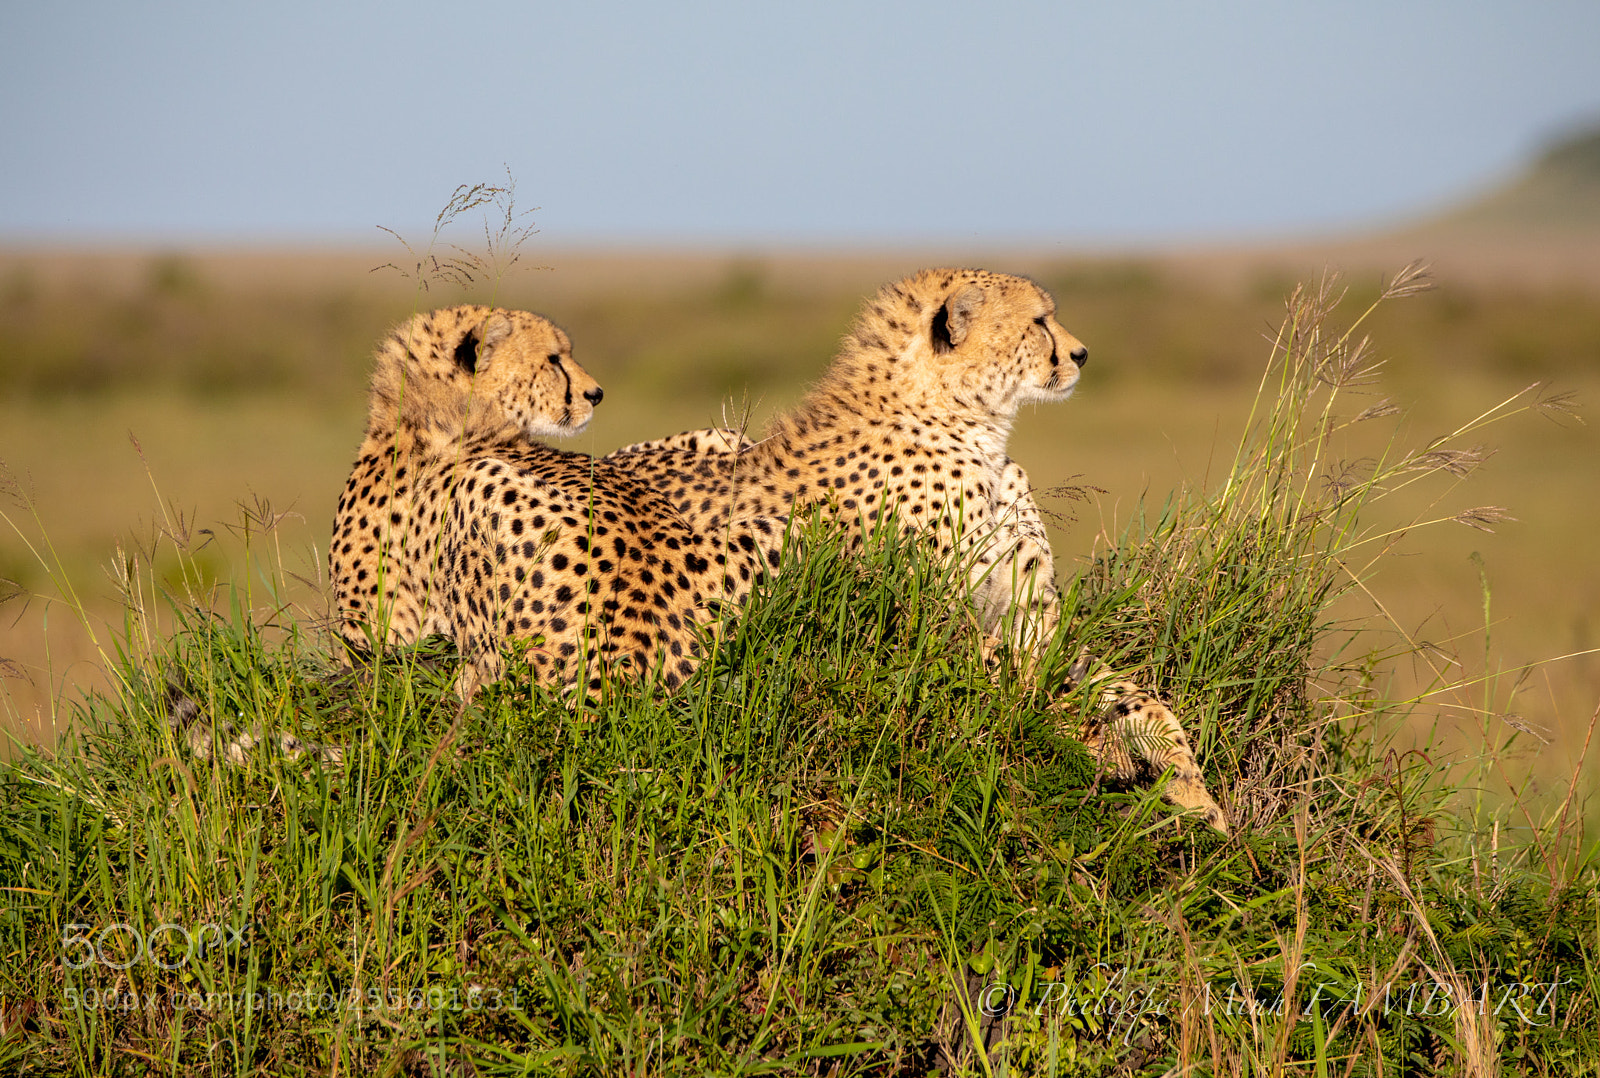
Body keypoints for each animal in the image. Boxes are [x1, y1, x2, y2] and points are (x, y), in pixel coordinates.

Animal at [604, 269, 1227, 832]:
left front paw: (1194, 788)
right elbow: (1024, 689)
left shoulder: (1033, 621)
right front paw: (1104, 749)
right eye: (1038, 321)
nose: (1082, 353)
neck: (972, 425)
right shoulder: (931, 623)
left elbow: (1133, 693)